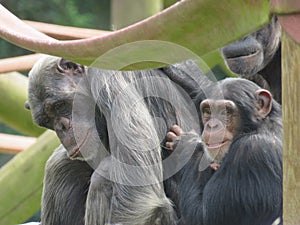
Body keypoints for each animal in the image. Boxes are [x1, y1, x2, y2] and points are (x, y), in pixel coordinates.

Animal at [25, 55, 209, 225]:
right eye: (46, 120)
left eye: (59, 105)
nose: (61, 128)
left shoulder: (106, 79)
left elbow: (138, 196)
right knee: (60, 164)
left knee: (105, 174)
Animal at [165, 78, 282, 225]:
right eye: (208, 111)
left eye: (225, 112)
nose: (212, 125)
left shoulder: (252, 151)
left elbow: (203, 216)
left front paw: (187, 145)